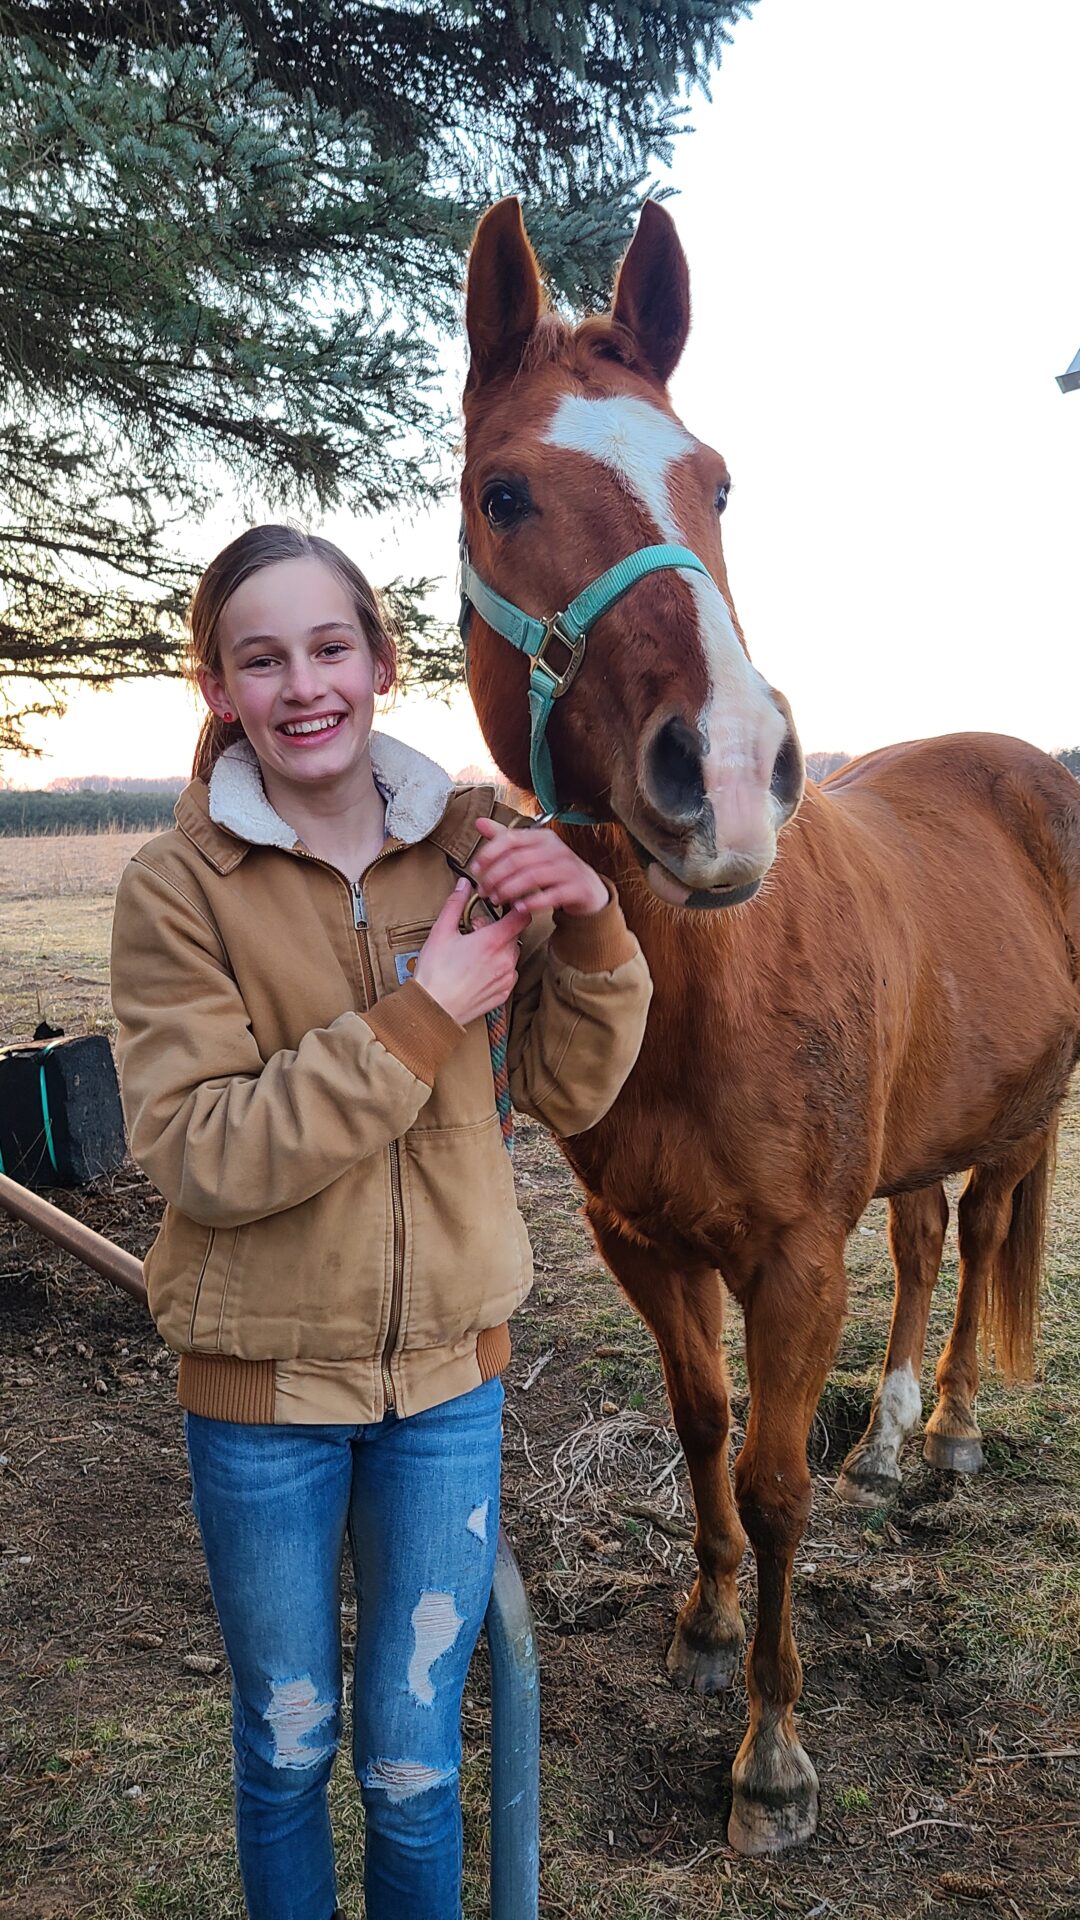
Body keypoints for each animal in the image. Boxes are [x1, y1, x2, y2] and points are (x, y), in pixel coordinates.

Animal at [459, 196, 1080, 1855]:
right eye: (502, 492)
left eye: (717, 481)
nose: (729, 774)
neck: (709, 990)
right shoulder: (642, 1243)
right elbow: (700, 1427)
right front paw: (705, 1624)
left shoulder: (796, 1262)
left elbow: (777, 1476)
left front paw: (774, 1753)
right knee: (925, 1248)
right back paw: (902, 1433)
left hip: (1025, 1117)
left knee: (983, 1235)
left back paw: (948, 1436)